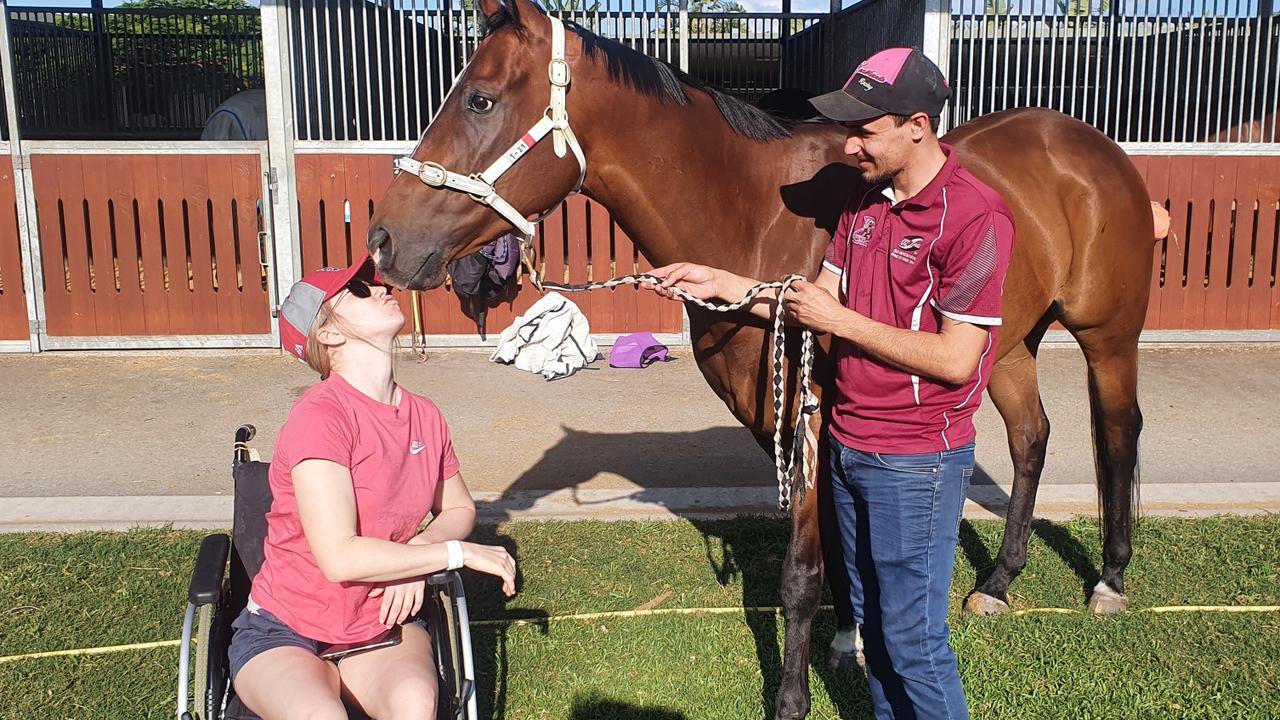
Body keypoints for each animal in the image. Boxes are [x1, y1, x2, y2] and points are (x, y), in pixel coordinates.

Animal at [366, 2, 1157, 712]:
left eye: (479, 99)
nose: (381, 242)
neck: (757, 218)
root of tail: (1091, 147)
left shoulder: (806, 421)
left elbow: (801, 572)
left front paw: (794, 696)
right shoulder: (788, 420)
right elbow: (839, 544)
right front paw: (852, 638)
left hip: (1107, 338)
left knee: (1119, 433)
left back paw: (1112, 579)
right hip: (1008, 344)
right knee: (1031, 439)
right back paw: (997, 584)